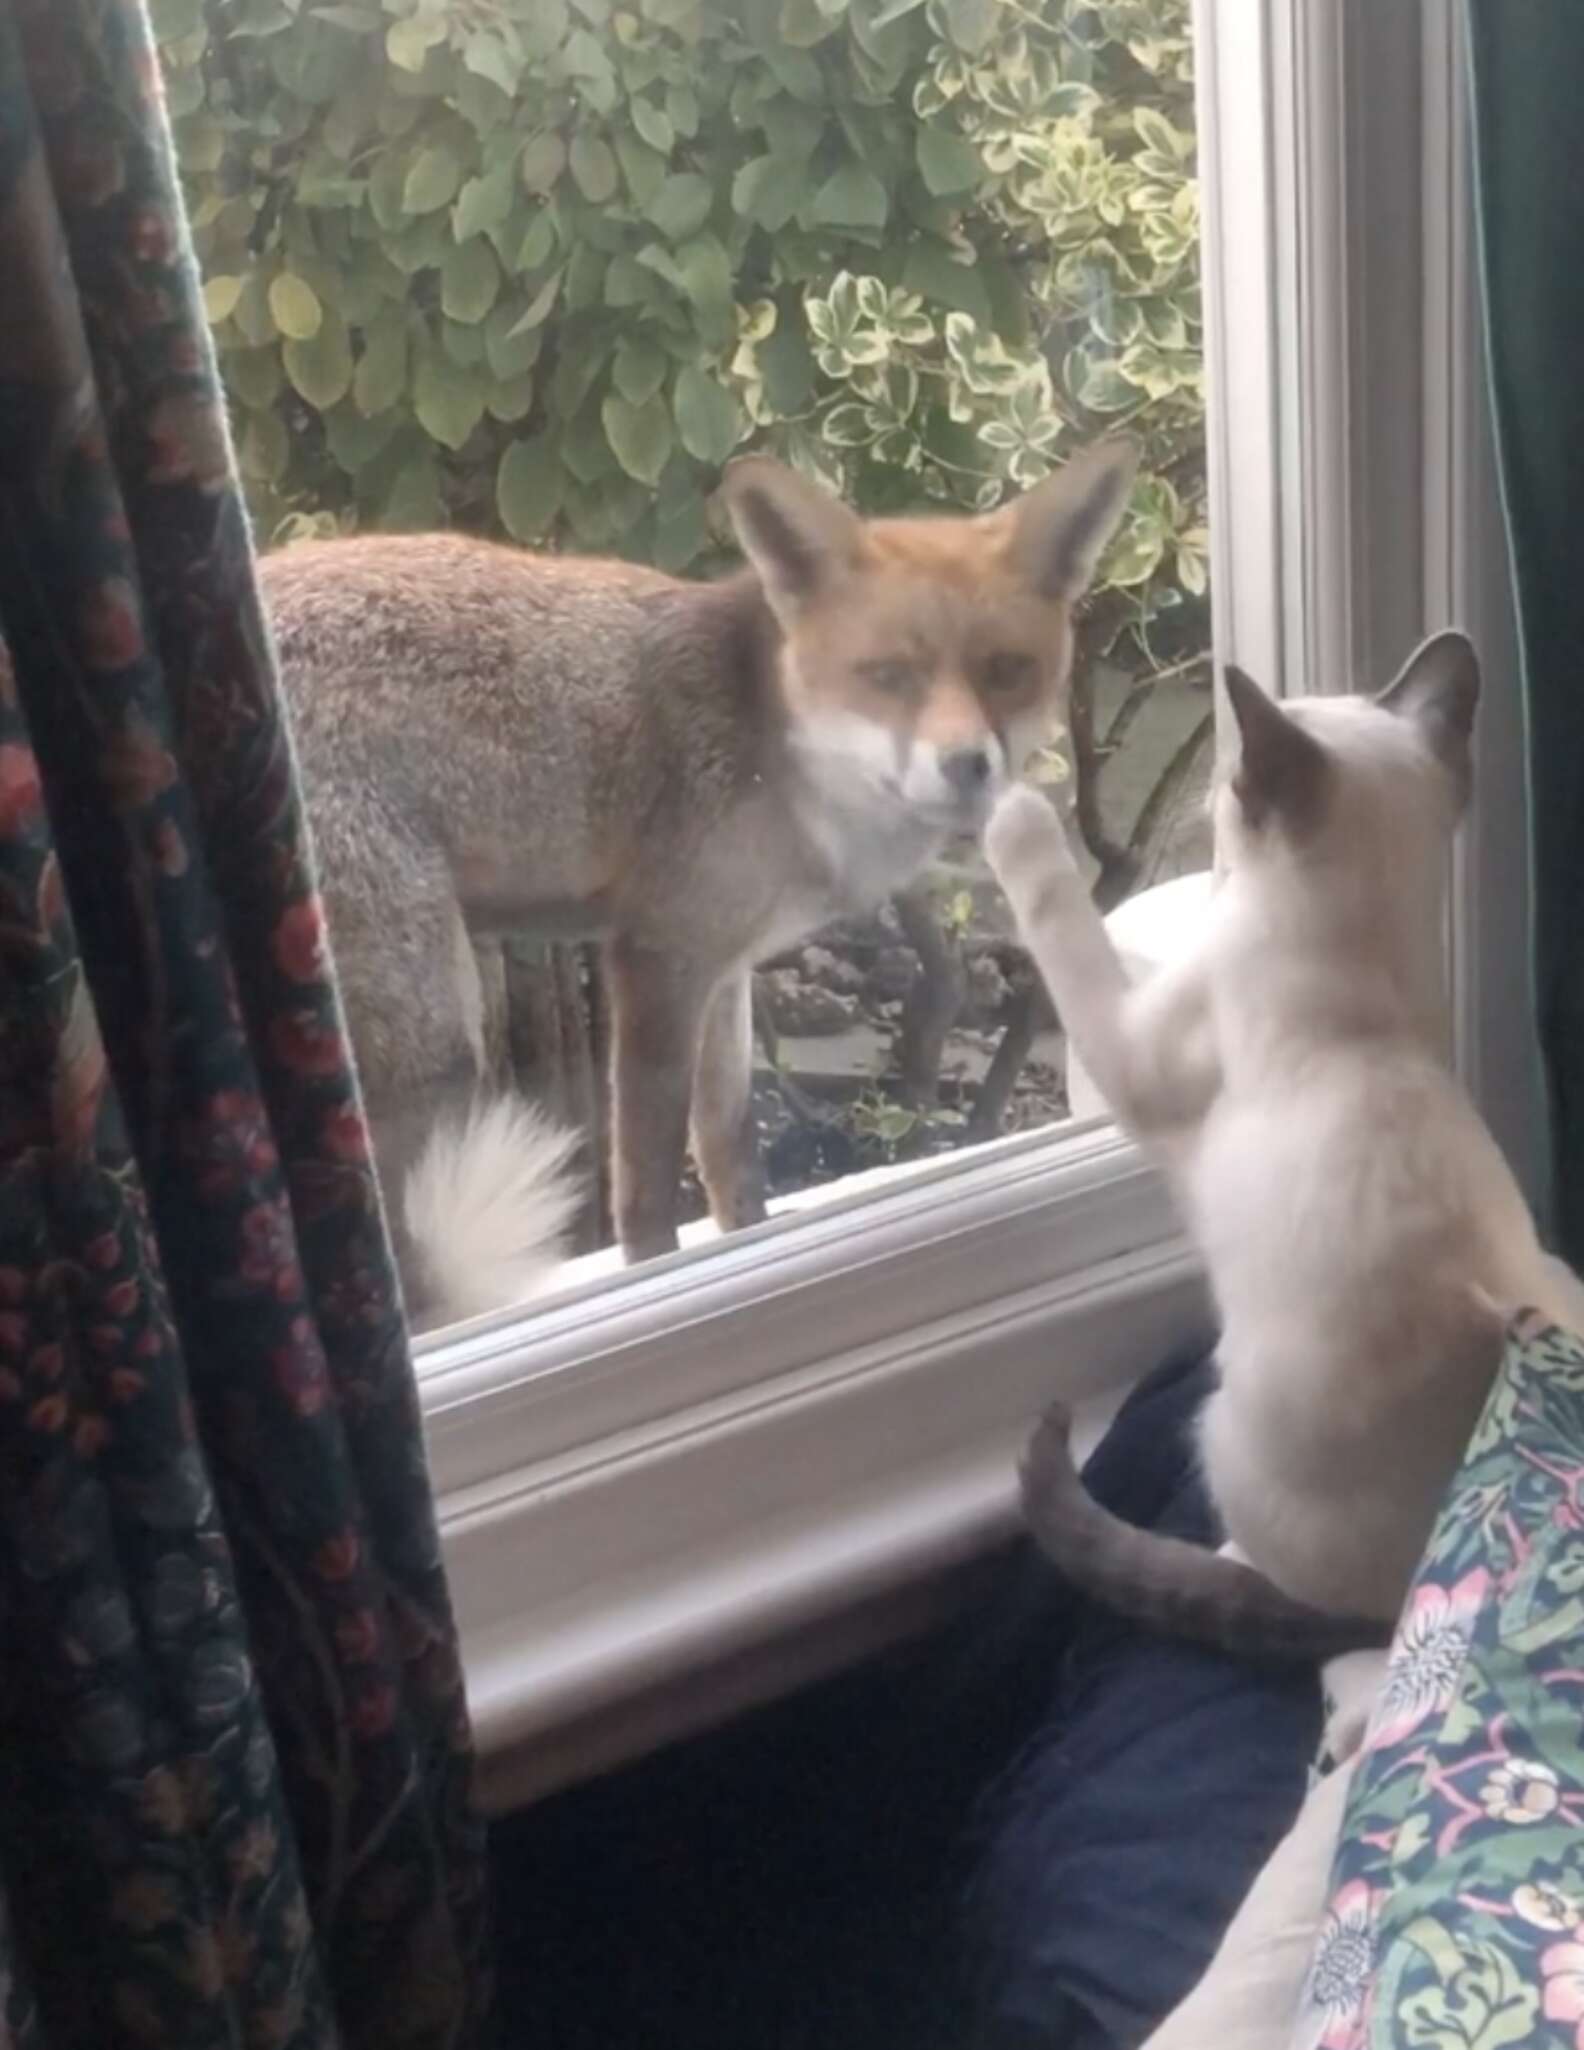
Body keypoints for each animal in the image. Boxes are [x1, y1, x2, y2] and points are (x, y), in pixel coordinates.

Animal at [263, 440, 1138, 1326]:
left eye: (1007, 670)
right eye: (889, 675)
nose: (967, 766)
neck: (780, 756)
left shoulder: (724, 965)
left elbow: (727, 1144)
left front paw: (747, 1244)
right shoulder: (656, 956)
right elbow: (647, 1183)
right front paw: (653, 1283)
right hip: (431, 1032)